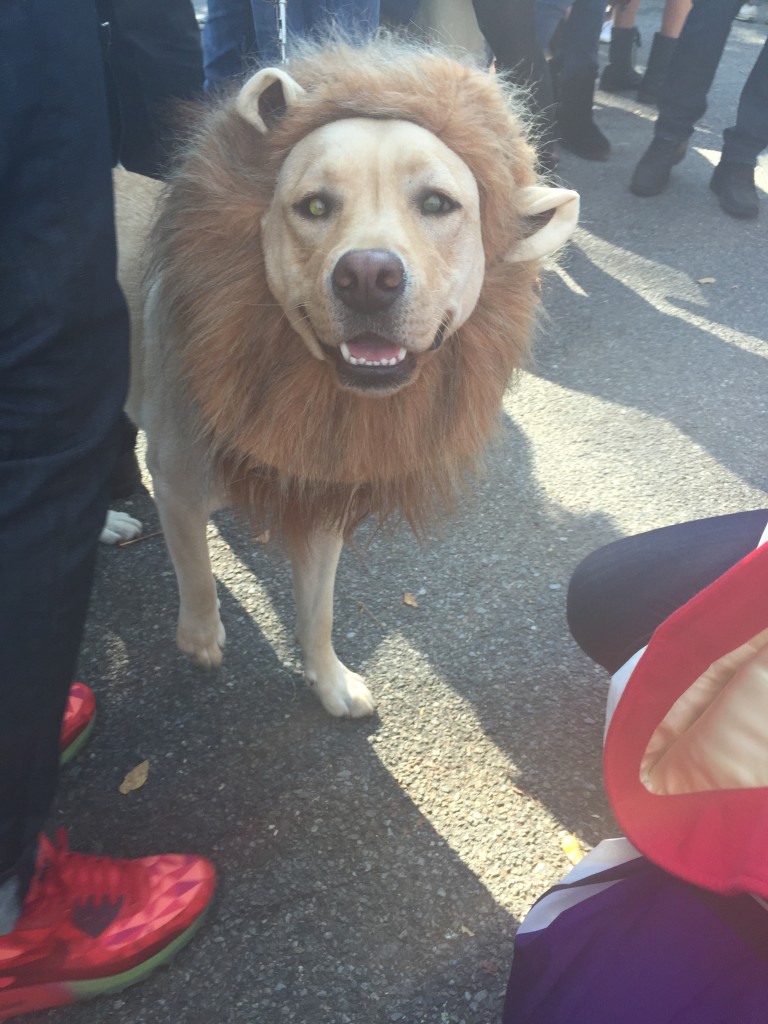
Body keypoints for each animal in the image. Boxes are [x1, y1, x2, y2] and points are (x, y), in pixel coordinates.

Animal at [114, 37, 581, 712]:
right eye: (314, 206)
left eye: (437, 203)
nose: (366, 277)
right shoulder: (176, 481)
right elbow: (197, 572)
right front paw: (201, 638)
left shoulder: (322, 498)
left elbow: (320, 612)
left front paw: (330, 683)